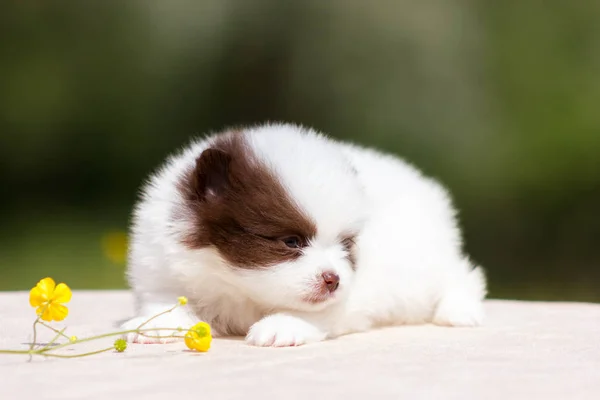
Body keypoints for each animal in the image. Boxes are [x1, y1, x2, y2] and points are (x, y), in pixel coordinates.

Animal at [122, 122, 488, 346]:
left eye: (345, 245)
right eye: (292, 242)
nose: (332, 279)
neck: (238, 286)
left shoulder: (356, 293)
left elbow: (319, 310)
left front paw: (281, 325)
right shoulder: (161, 266)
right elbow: (165, 299)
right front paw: (152, 324)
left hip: (427, 258)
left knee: (461, 275)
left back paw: (459, 310)